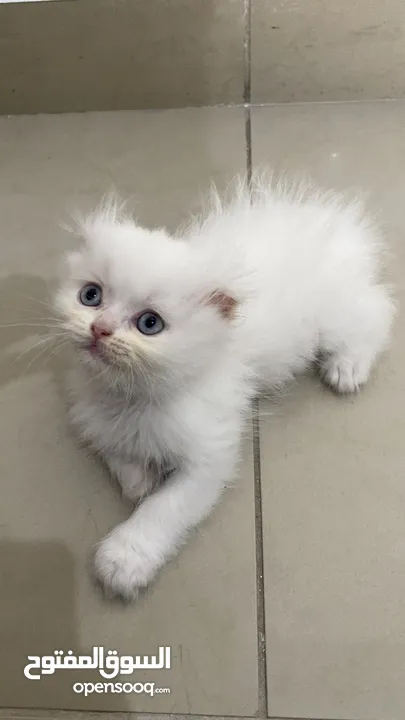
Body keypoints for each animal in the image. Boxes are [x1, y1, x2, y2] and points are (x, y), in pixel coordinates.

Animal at [55, 177, 392, 600]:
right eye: (90, 295)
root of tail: (341, 228)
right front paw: (139, 478)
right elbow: (114, 448)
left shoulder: (209, 455)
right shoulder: (90, 411)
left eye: (149, 323)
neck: (133, 396)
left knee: (379, 309)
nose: (99, 329)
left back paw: (348, 366)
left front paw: (124, 559)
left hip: (332, 315)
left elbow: (165, 508)